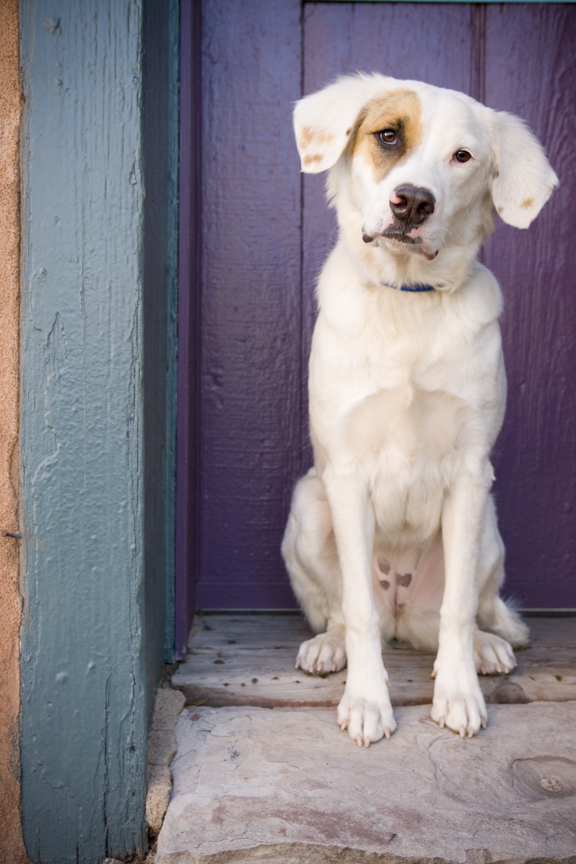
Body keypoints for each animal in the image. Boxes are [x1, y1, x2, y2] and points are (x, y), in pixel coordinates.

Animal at [281, 74, 558, 747]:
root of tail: (402, 615)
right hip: (309, 506)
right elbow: (356, 610)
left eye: (463, 157)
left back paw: (484, 648)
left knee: (459, 615)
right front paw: (366, 701)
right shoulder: (346, 475)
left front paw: (457, 694)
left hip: (488, 527)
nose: (412, 203)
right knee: (349, 615)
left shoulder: (469, 474)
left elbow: (458, 609)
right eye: (388, 136)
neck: (407, 299)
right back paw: (329, 646)